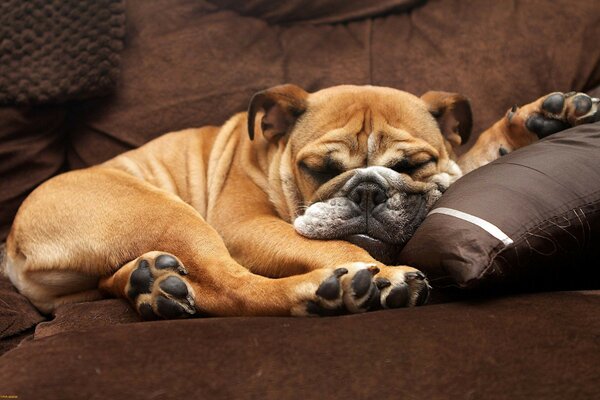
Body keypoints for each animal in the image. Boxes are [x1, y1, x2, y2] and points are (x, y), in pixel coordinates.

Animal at [2, 86, 596, 318]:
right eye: (320, 170)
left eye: (410, 166)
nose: (367, 188)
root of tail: (12, 243)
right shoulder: (247, 228)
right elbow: (331, 247)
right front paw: (374, 273)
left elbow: (471, 157)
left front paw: (541, 120)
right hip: (166, 213)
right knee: (233, 287)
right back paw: (336, 290)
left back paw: (150, 283)